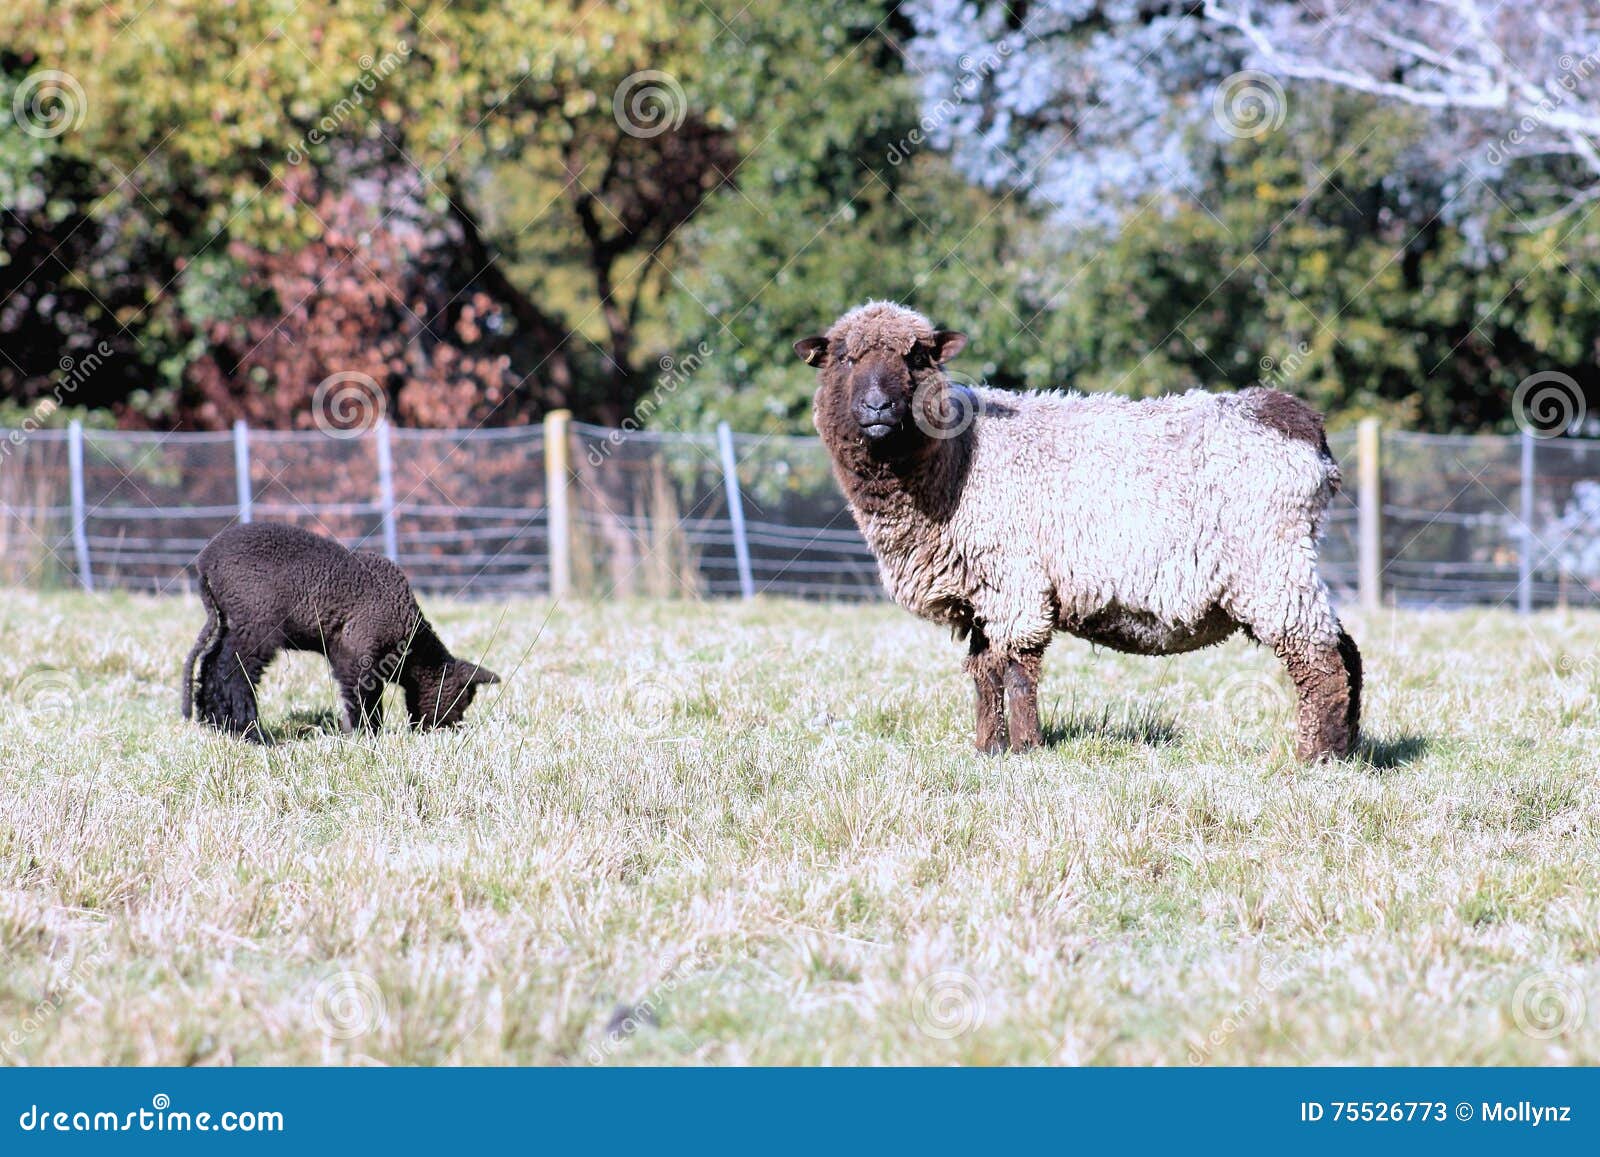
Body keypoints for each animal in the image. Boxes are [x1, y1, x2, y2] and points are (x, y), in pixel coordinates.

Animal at [182, 522, 500, 740]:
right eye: (464, 697)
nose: (451, 730)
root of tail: (206, 564)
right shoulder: (360, 650)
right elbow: (363, 693)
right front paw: (366, 733)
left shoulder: (342, 652)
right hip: (255, 621)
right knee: (233, 671)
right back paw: (250, 732)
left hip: (229, 619)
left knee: (211, 664)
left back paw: (216, 724)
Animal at [794, 301, 1361, 760]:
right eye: (843, 357)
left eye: (917, 357)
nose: (877, 408)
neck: (956, 461)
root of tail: (1298, 422)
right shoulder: (981, 593)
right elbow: (984, 673)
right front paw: (988, 750)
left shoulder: (1014, 581)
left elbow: (1016, 669)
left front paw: (1025, 750)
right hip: (1283, 564)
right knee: (1346, 648)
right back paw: (1348, 750)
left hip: (1270, 563)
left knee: (1321, 661)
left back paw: (1314, 759)